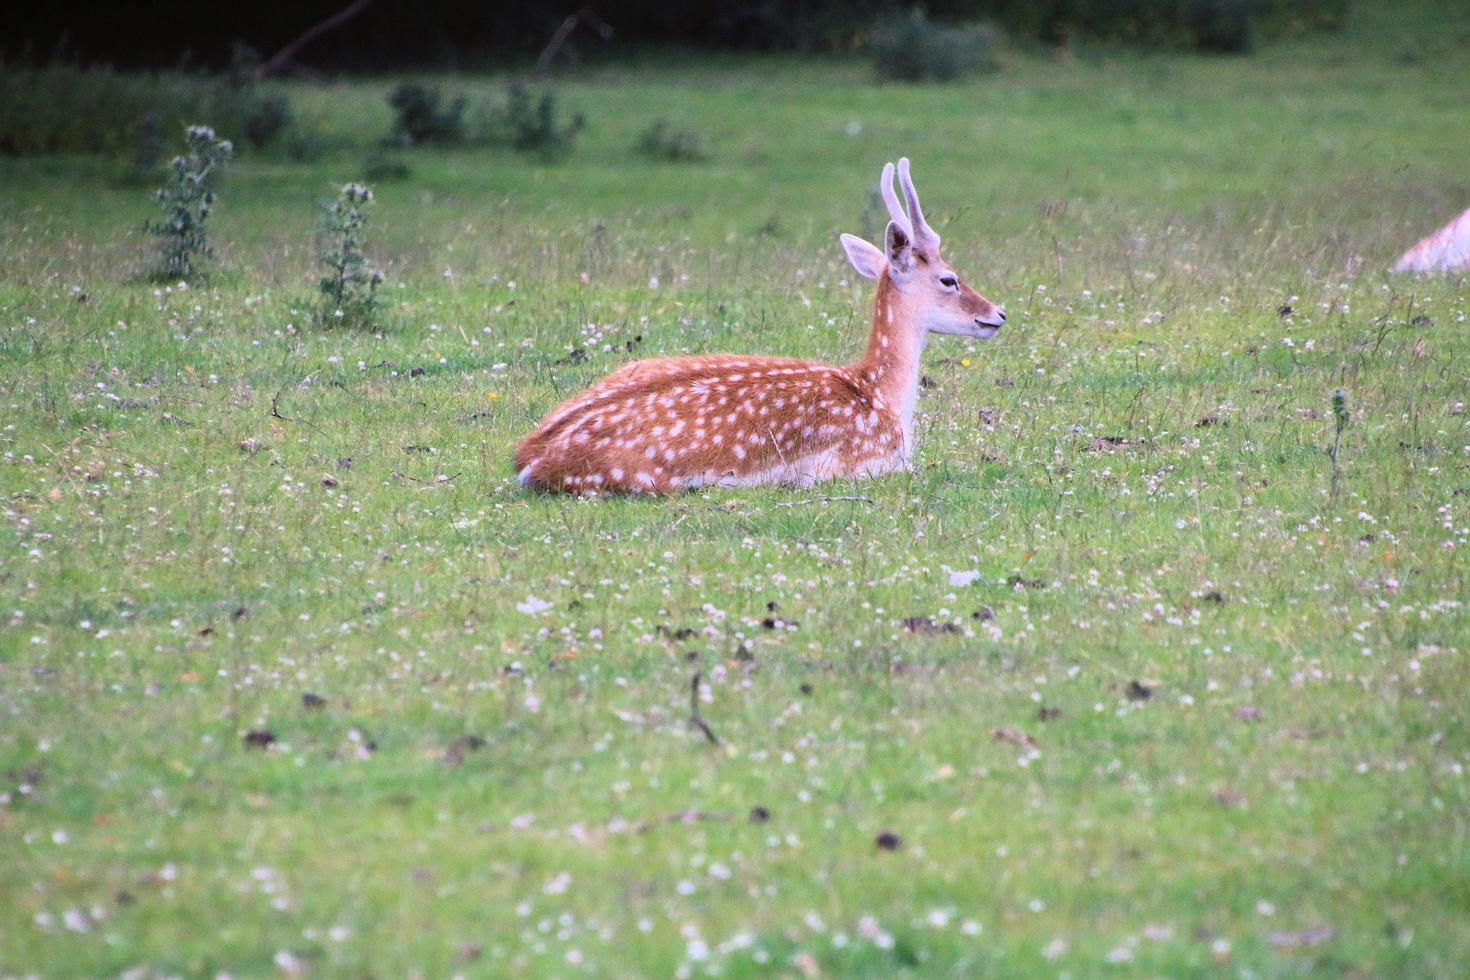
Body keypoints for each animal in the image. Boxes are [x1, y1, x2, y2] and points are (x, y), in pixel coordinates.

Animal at [511, 161, 1005, 499]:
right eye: (949, 279)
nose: (997, 313)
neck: (880, 397)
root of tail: (528, 460)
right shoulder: (854, 463)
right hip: (645, 477)